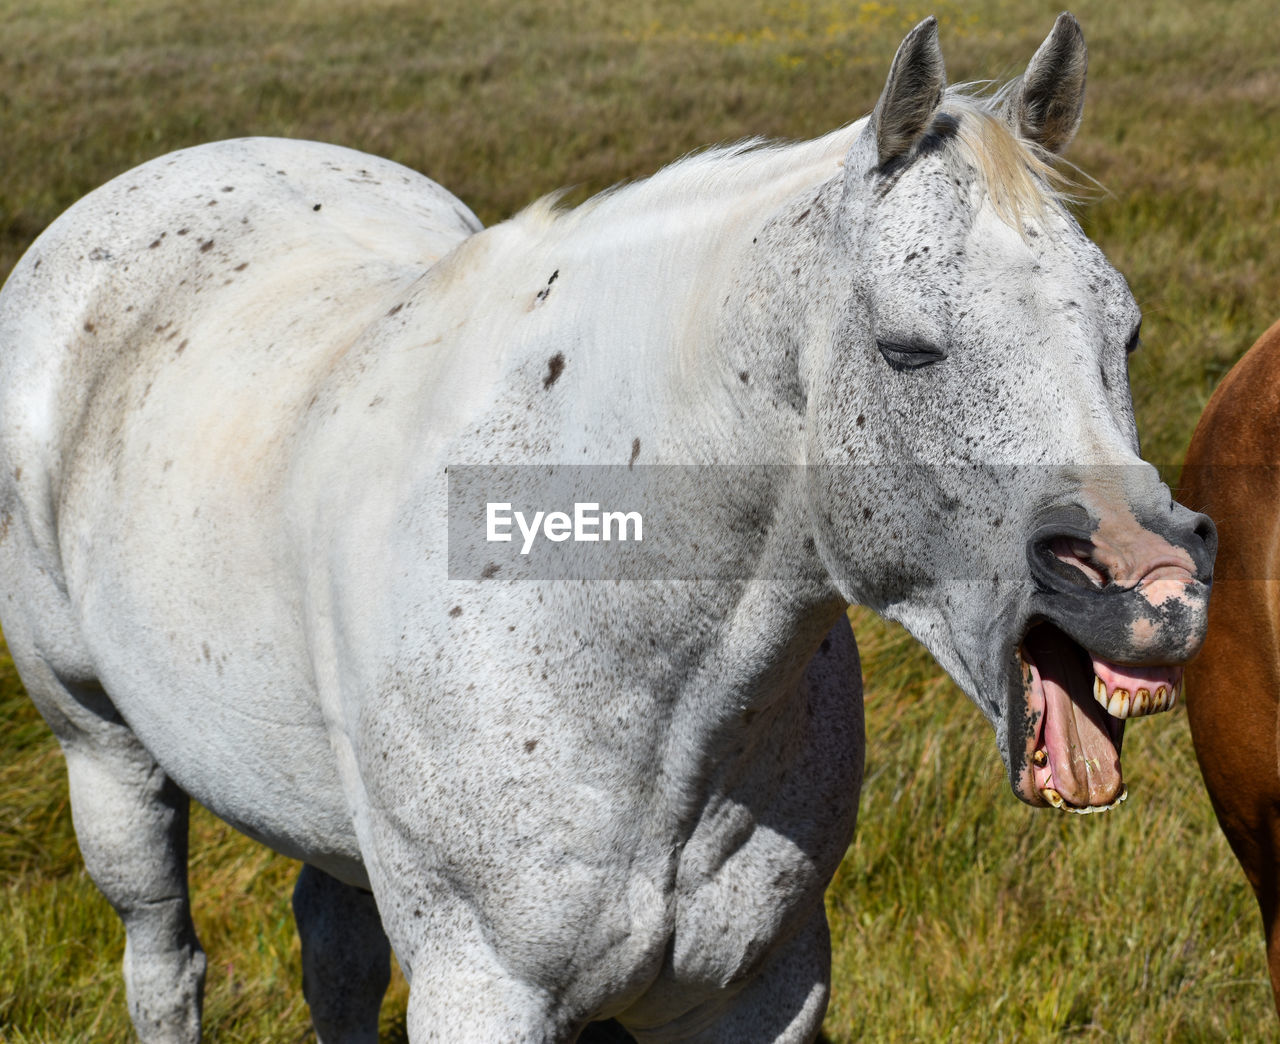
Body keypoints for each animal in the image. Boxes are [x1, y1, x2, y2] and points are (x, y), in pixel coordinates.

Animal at [0, 16, 1213, 1044]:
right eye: (907, 350)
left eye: (1126, 331)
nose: (1151, 587)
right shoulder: (484, 990)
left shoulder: (760, 989)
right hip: (104, 755)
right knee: (164, 961)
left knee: (333, 951)